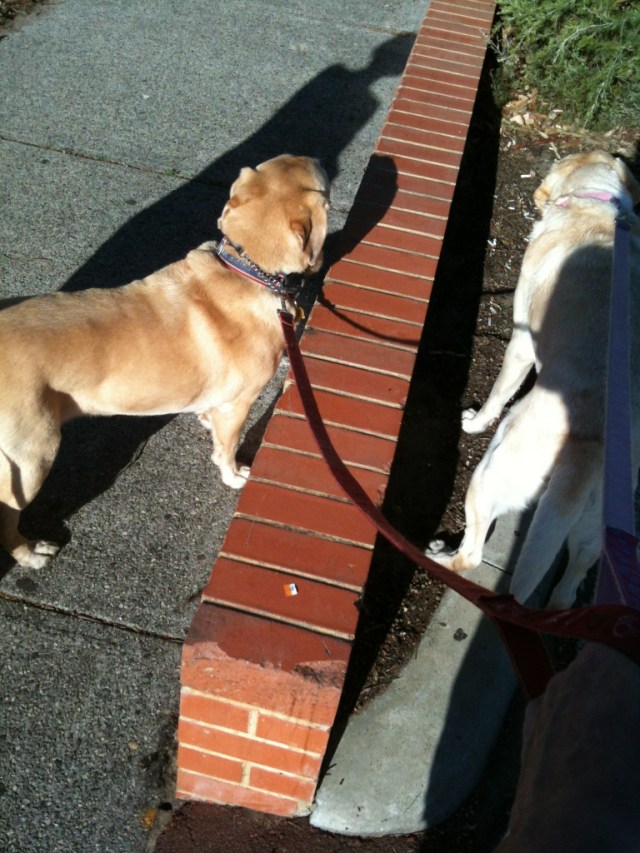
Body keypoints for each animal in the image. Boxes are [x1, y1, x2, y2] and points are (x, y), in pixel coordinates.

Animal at [0, 154, 329, 569]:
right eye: (321, 178)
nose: (319, 157)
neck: (246, 267)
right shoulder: (239, 403)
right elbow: (227, 448)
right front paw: (233, 474)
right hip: (31, 458)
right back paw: (31, 553)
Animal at [427, 150, 640, 608]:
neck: (596, 207)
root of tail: (591, 453)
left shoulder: (521, 343)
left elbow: (498, 393)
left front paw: (473, 421)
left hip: (489, 472)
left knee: (471, 555)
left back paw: (436, 553)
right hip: (592, 533)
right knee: (570, 581)